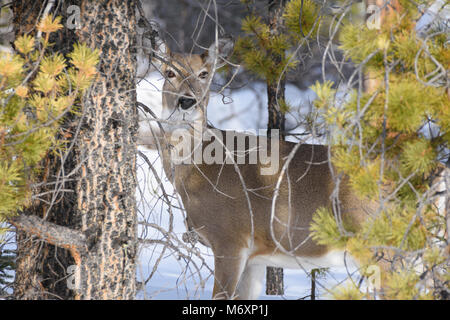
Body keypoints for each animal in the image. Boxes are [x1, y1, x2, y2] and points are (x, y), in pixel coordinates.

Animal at [140, 38, 446, 300]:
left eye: (204, 74)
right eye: (169, 72)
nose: (187, 101)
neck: (200, 169)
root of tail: (435, 170)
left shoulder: (230, 238)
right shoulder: (255, 257)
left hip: (383, 247)